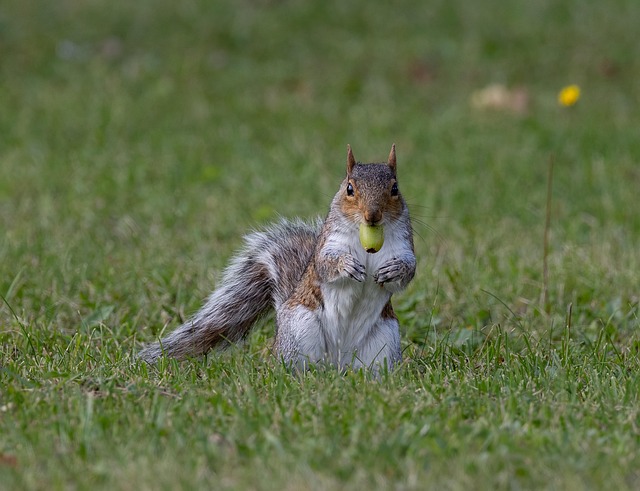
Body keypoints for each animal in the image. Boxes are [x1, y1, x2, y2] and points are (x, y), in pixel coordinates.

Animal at [139, 144, 416, 372]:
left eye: (395, 189)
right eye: (349, 189)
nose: (372, 216)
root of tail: (337, 363)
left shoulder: (404, 245)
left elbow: (409, 270)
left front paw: (395, 270)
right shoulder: (327, 244)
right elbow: (325, 265)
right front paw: (346, 265)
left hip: (384, 342)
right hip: (300, 330)